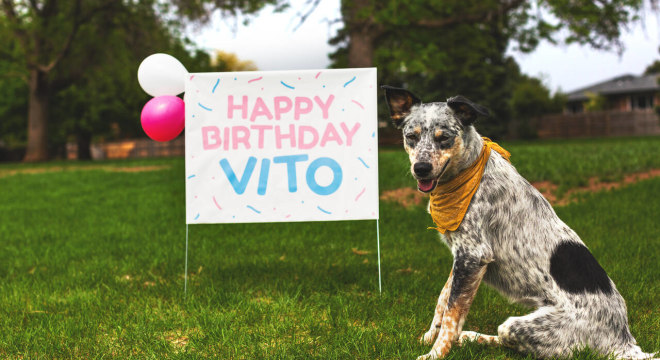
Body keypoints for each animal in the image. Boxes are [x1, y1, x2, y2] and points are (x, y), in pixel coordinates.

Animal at [382, 86, 656, 360]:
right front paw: (430, 336)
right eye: (411, 137)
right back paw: (471, 337)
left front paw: (436, 352)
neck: (466, 175)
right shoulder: (463, 257)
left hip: (519, 326)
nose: (421, 168)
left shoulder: (473, 255)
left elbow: (452, 313)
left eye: (444, 138)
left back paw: (472, 338)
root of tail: (624, 341)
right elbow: (444, 299)